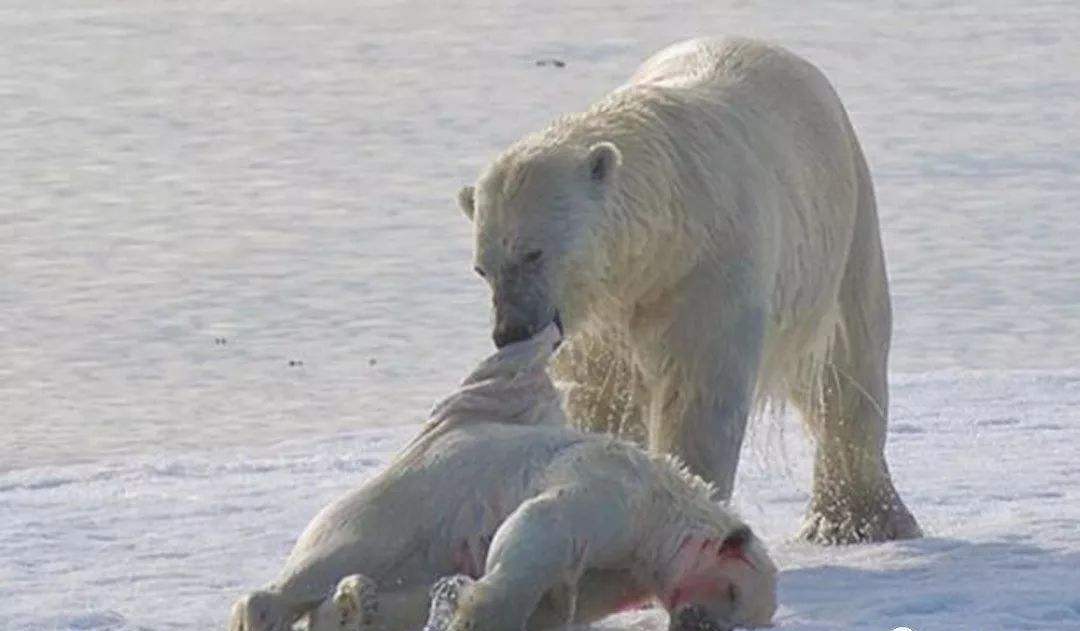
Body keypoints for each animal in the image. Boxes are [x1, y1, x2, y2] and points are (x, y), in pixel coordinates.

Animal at [227, 326, 777, 631]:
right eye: (734, 593)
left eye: (743, 616)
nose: (695, 624)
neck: (667, 509)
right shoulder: (614, 493)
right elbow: (540, 527)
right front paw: (471, 613)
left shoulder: (623, 572)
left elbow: (559, 599)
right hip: (395, 507)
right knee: (331, 560)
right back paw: (271, 612)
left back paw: (352, 605)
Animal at [455, 37, 920, 544]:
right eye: (482, 268)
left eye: (533, 252)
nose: (510, 331)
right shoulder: (604, 314)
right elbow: (602, 394)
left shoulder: (710, 265)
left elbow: (699, 390)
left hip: (843, 227)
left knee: (848, 365)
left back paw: (858, 519)